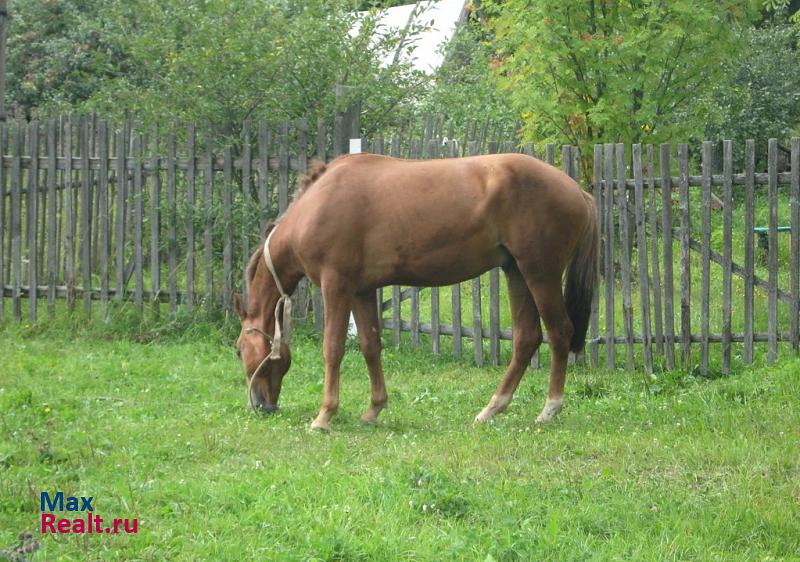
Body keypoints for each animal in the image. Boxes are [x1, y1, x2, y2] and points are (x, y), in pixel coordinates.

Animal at [234, 151, 596, 430]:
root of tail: (578, 191)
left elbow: (333, 348)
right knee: (526, 338)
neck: (317, 206)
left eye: (239, 350)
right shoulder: (362, 291)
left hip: (540, 274)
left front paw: (324, 416)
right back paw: (492, 408)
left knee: (559, 333)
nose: (261, 405)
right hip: (516, 272)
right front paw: (374, 409)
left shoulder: (335, 285)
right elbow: (370, 346)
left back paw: (549, 409)